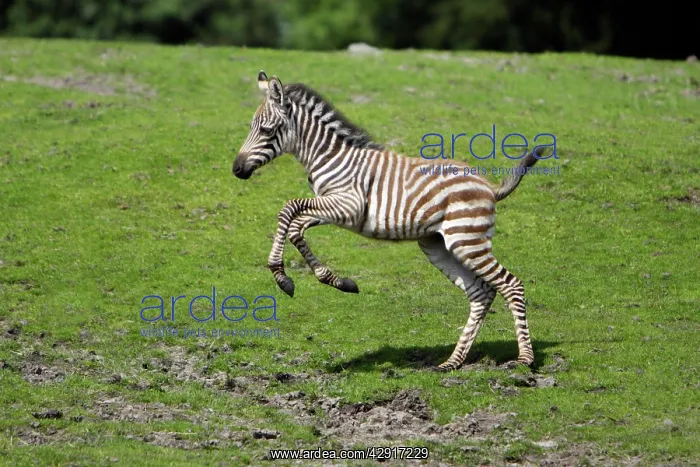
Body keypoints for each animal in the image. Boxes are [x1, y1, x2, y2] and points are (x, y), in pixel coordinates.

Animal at [233, 71, 543, 370]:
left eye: (266, 130)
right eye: (252, 127)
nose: (236, 169)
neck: (329, 158)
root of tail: (489, 186)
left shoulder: (348, 204)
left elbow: (289, 208)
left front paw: (282, 276)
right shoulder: (335, 210)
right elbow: (296, 225)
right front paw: (335, 280)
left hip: (467, 240)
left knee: (511, 285)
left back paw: (524, 359)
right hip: (440, 245)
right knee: (481, 293)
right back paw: (452, 362)